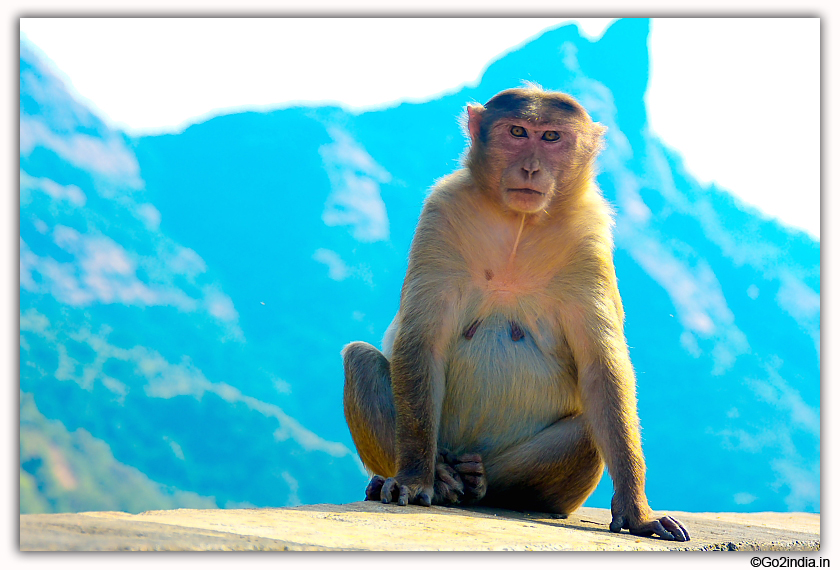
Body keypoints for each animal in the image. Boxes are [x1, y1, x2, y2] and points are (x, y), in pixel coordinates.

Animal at [342, 85, 688, 540]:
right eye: (518, 132)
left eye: (552, 137)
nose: (531, 168)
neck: (520, 226)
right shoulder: (441, 212)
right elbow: (422, 343)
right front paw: (415, 479)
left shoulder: (590, 239)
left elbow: (601, 372)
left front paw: (636, 510)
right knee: (360, 360)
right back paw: (439, 478)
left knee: (586, 430)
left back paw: (480, 482)